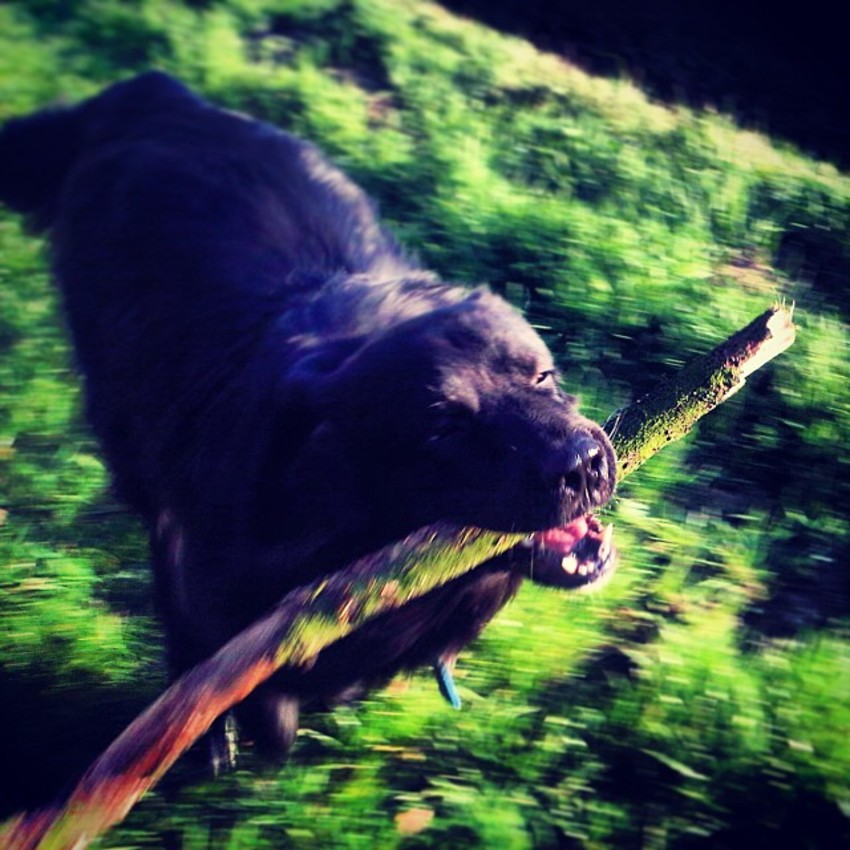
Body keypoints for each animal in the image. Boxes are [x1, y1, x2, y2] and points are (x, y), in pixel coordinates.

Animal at [0, 72, 616, 764]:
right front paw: (222, 736)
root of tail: (156, 92)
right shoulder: (197, 573)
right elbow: (231, 690)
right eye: (444, 429)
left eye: (542, 375)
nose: (585, 465)